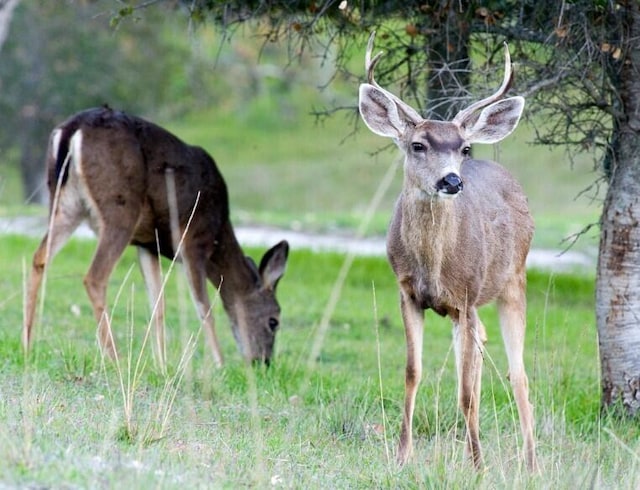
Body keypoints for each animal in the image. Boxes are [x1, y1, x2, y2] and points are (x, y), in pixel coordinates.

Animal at [22, 107, 288, 368]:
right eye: (273, 321)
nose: (263, 362)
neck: (219, 231)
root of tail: (72, 130)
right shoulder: (194, 240)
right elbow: (204, 307)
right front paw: (219, 364)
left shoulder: (147, 244)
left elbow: (158, 304)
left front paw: (160, 363)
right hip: (120, 208)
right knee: (94, 277)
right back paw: (115, 358)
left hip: (65, 203)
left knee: (39, 258)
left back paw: (27, 343)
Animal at [358, 34, 536, 470]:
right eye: (417, 145)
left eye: (464, 148)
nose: (452, 180)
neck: (434, 267)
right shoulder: (407, 294)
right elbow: (412, 372)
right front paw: (402, 455)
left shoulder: (467, 297)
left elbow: (467, 391)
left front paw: (478, 465)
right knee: (482, 348)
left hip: (513, 279)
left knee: (518, 372)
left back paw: (532, 463)